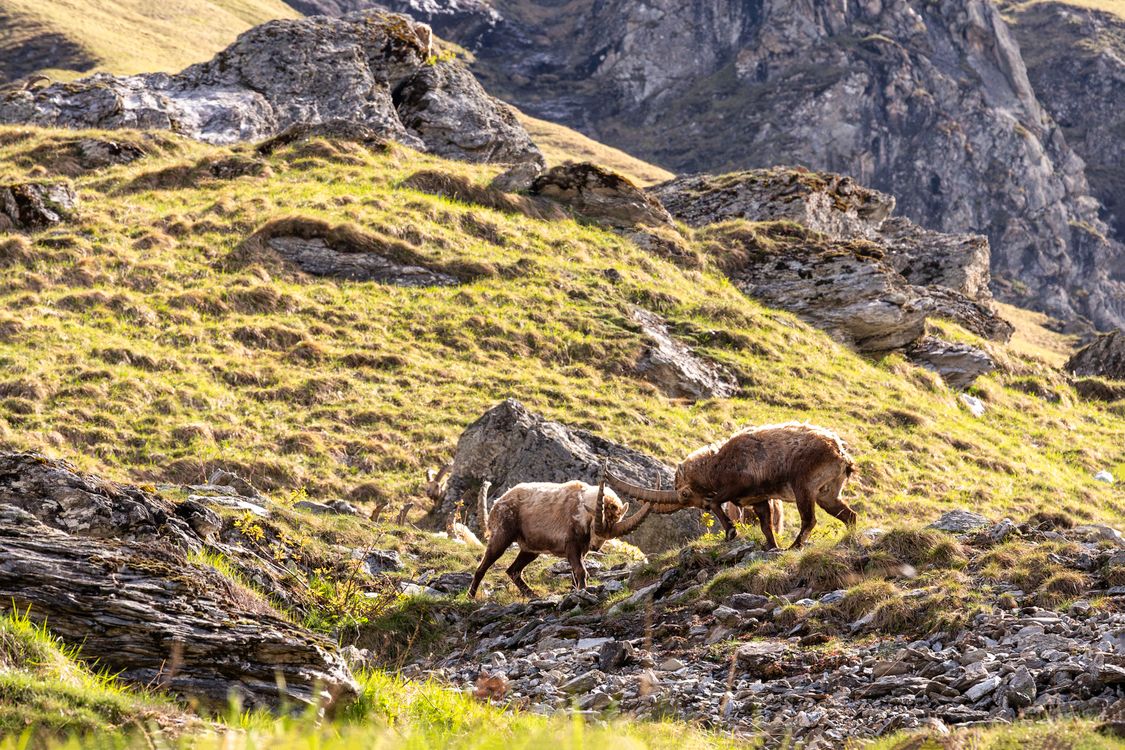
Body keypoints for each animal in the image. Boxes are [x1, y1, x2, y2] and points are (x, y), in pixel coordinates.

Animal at [468, 473, 653, 598]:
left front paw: (577, 591)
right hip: (502, 537)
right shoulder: (571, 546)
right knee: (482, 568)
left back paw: (532, 595)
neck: (582, 509)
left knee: (513, 570)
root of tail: (498, 503)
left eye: (609, 536)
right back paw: (471, 596)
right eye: (595, 526)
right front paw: (583, 592)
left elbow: (575, 574)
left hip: (530, 550)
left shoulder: (582, 550)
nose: (595, 547)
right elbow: (581, 571)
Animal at [607, 423, 855, 550]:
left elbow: (717, 501)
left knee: (809, 520)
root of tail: (840, 453)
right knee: (849, 515)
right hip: (827, 493)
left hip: (803, 487)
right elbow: (766, 526)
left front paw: (730, 531)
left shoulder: (737, 485)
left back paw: (794, 546)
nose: (701, 505)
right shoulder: (759, 499)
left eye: (685, 493)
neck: (715, 464)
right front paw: (771, 546)